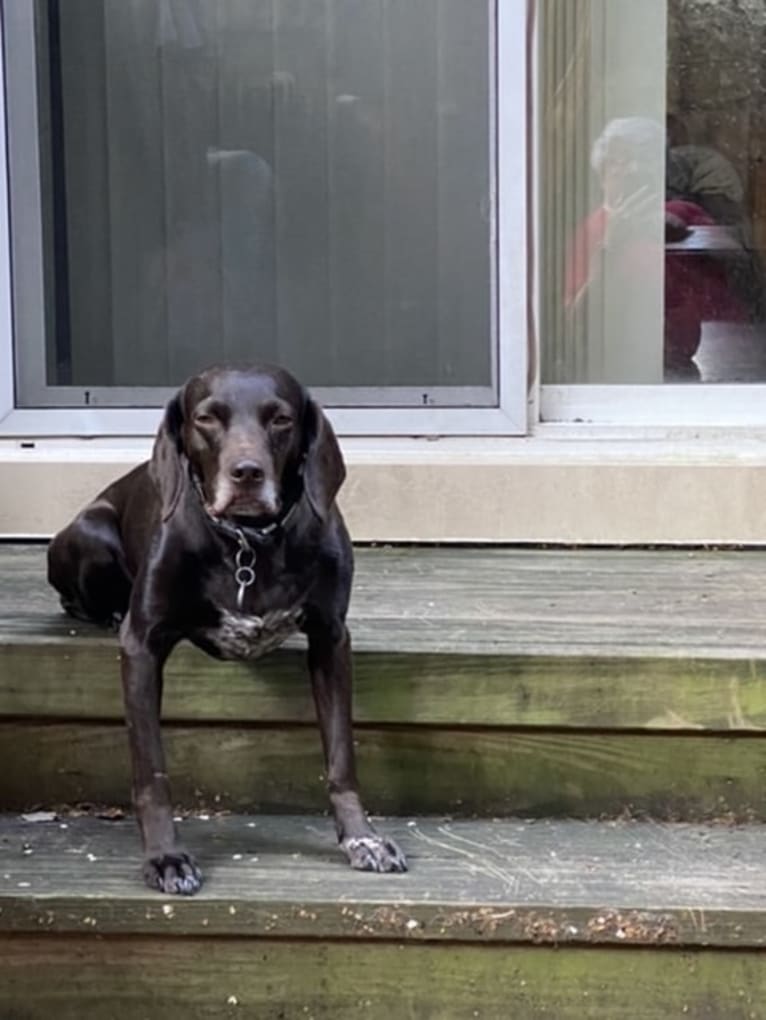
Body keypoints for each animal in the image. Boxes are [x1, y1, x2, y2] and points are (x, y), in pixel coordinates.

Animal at [46, 365, 407, 893]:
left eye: (280, 419)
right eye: (206, 419)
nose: (247, 473)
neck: (247, 543)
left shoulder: (330, 640)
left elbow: (341, 756)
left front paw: (362, 837)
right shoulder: (142, 645)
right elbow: (151, 770)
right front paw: (166, 857)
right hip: (89, 534)